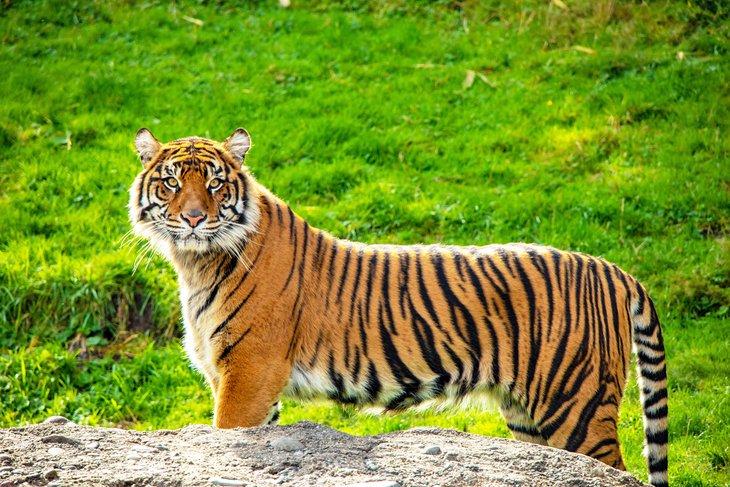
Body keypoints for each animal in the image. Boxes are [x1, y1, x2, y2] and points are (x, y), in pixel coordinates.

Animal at [128, 128, 669, 487]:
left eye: (215, 184)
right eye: (171, 183)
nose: (194, 218)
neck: (195, 263)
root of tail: (612, 268)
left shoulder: (248, 372)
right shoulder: (245, 380)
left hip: (576, 405)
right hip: (529, 416)